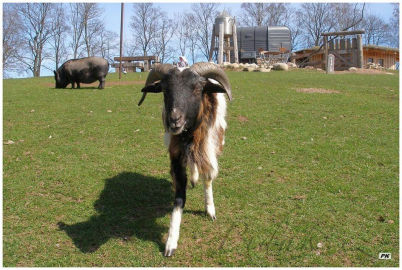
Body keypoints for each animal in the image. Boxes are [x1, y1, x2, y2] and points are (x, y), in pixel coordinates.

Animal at [138, 62, 232, 256]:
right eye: (165, 90)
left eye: (197, 89)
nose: (175, 119)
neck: (189, 136)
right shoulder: (176, 158)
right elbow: (179, 198)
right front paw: (171, 242)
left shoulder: (208, 150)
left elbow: (208, 178)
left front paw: (210, 210)